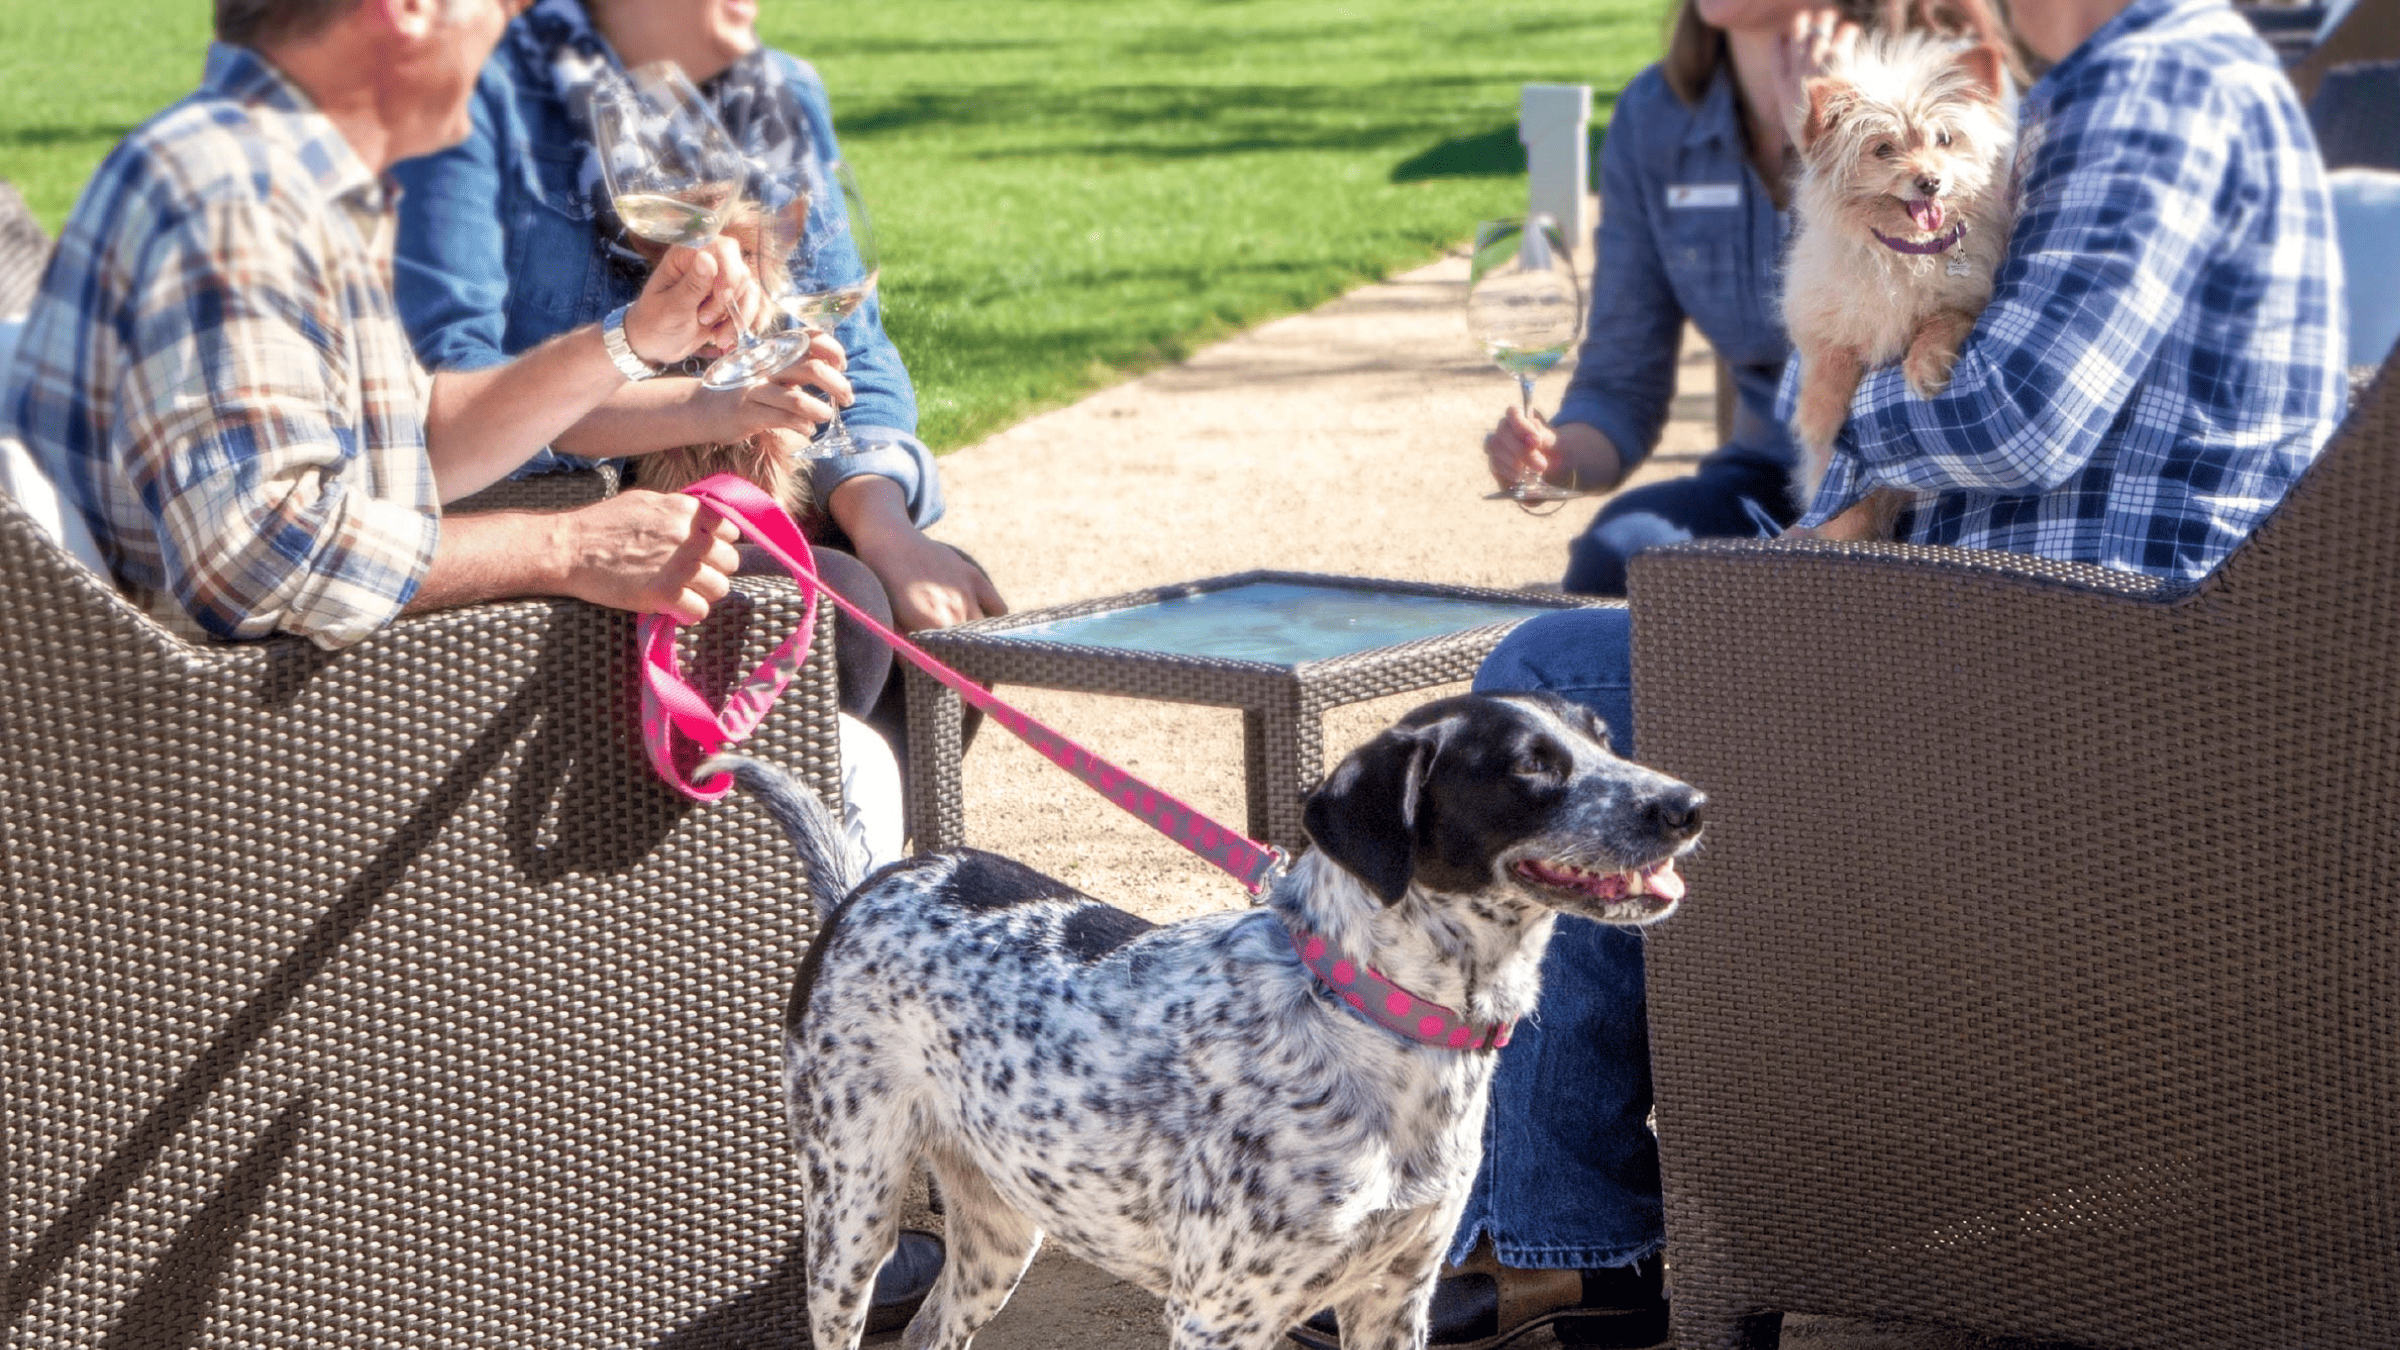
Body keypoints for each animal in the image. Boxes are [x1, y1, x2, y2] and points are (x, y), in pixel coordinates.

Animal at [700, 691, 1708, 1345]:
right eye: (1531, 767)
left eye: (1605, 742)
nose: (1689, 804)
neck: (1376, 1017)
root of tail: (868, 882)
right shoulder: (1219, 1316)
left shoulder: (1396, 1296)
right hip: (852, 1216)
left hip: (1000, 1230)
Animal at [1795, 31, 2016, 535]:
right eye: (1883, 149)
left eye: (1945, 139)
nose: (1929, 181)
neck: (1906, 253)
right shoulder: (1825, 316)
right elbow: (1832, 357)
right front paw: (1817, 415)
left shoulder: (1969, 297)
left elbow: (1942, 320)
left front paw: (1925, 365)